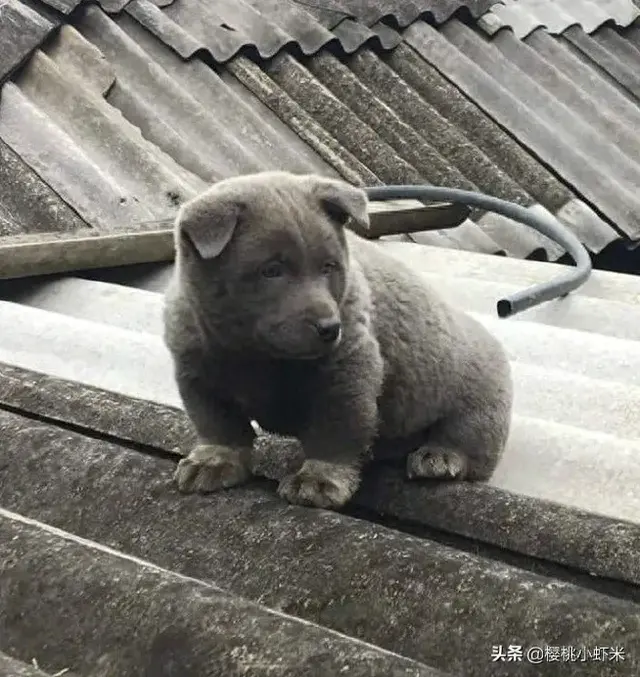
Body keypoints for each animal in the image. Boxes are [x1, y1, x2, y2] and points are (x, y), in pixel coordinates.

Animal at [165, 169, 516, 508]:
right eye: (271, 270)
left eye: (329, 267)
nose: (330, 328)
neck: (255, 354)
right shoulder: (196, 372)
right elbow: (218, 425)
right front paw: (212, 461)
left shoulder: (346, 373)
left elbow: (336, 431)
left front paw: (318, 480)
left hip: (479, 404)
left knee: (469, 441)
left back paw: (439, 458)